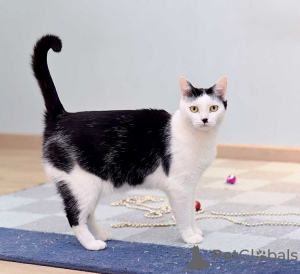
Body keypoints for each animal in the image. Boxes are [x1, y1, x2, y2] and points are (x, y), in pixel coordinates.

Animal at [31, 33, 227, 250]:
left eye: (213, 108)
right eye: (194, 109)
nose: (204, 119)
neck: (199, 138)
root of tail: (60, 116)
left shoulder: (190, 184)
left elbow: (192, 212)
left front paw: (195, 230)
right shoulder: (179, 186)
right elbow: (184, 215)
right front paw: (189, 236)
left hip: (93, 185)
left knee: (88, 214)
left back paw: (101, 235)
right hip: (80, 185)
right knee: (75, 216)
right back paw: (92, 243)